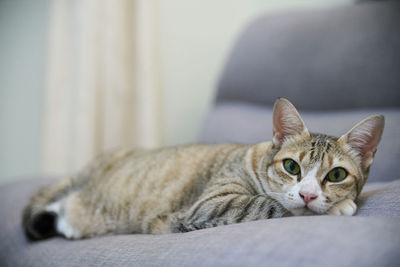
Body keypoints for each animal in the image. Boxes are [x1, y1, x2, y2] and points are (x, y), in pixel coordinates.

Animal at [22, 98, 384, 241]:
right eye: (292, 166)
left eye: (336, 174)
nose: (308, 193)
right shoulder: (212, 204)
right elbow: (271, 204)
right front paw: (336, 208)